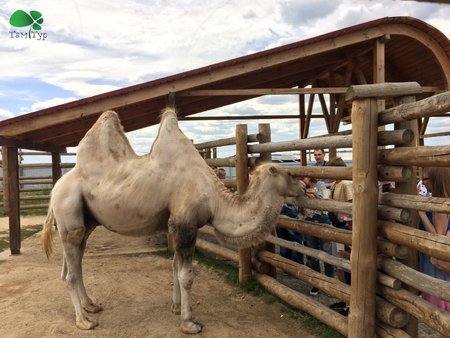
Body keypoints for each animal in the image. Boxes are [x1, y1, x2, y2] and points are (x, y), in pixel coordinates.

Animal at [42, 107, 302, 334]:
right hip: (69, 210)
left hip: (86, 222)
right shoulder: (185, 223)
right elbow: (186, 275)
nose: (304, 188)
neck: (214, 198)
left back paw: (91, 305)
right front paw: (189, 323)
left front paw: (176, 307)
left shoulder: (177, 223)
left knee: (75, 264)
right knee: (72, 270)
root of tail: (55, 189)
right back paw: (84, 321)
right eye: (290, 173)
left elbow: (175, 266)